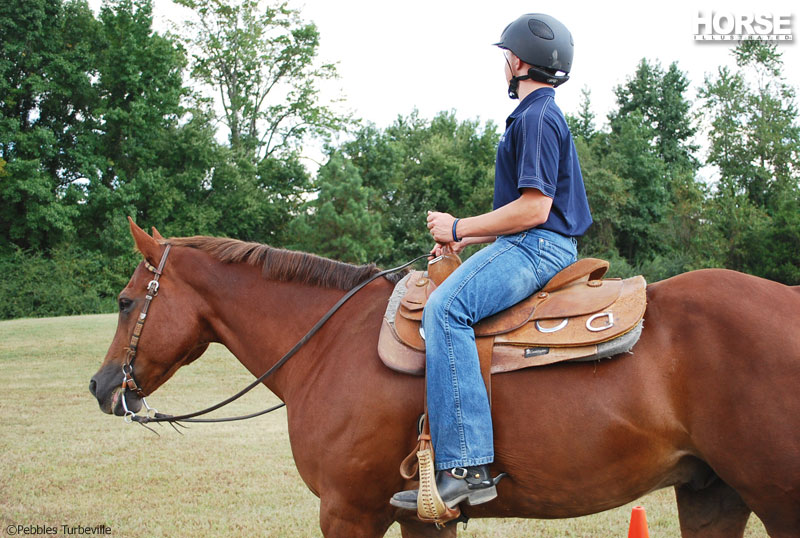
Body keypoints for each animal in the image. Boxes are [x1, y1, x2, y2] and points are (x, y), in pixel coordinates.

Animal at [90, 220, 800, 532]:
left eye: (125, 302)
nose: (100, 387)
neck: (330, 345)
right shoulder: (418, 517)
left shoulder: (348, 511)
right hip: (712, 491)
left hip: (774, 497)